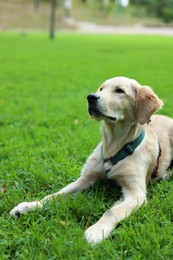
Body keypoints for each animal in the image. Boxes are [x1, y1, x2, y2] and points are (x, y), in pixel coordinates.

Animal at [9, 75, 173, 244]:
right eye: (101, 88)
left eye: (119, 91)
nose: (91, 97)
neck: (112, 148)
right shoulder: (85, 178)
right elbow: (55, 194)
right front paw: (30, 205)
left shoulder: (136, 193)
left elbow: (112, 211)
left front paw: (97, 231)